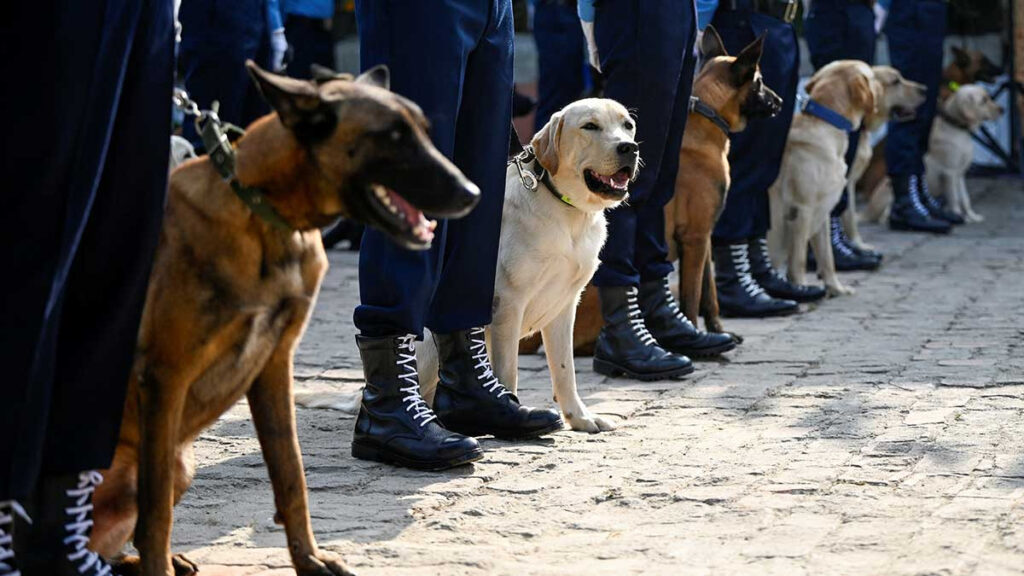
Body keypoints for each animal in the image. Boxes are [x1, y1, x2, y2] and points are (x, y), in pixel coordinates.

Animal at [86, 62, 477, 573]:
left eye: (424, 133)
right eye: (392, 137)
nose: (473, 193)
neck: (264, 214)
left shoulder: (274, 367)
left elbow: (291, 474)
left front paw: (309, 559)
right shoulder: (164, 379)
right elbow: (155, 514)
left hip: (182, 463)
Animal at [419, 98, 634, 430]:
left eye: (628, 125)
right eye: (590, 126)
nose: (629, 147)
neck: (568, 213)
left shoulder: (565, 304)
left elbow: (565, 370)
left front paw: (579, 417)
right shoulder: (508, 304)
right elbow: (508, 372)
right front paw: (512, 414)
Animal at [770, 60, 880, 295]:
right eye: (873, 77)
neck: (826, 123)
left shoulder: (823, 211)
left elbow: (827, 257)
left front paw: (835, 288)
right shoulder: (802, 210)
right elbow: (799, 260)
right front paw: (801, 287)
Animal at [925, 85, 1003, 222]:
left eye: (988, 97)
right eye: (983, 100)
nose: (1002, 110)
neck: (959, 129)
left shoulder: (960, 172)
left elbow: (965, 198)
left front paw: (972, 216)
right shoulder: (949, 172)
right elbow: (955, 198)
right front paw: (960, 217)